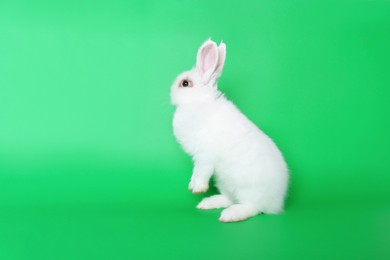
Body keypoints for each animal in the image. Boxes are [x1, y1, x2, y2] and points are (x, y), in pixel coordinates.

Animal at [171, 39, 290, 222]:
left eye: (185, 83)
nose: (170, 91)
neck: (198, 101)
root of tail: (277, 203)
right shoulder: (200, 157)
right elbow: (196, 172)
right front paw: (192, 185)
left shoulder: (205, 155)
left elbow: (202, 171)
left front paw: (197, 188)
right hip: (224, 183)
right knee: (229, 198)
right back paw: (208, 203)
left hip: (247, 189)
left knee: (252, 207)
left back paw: (230, 215)